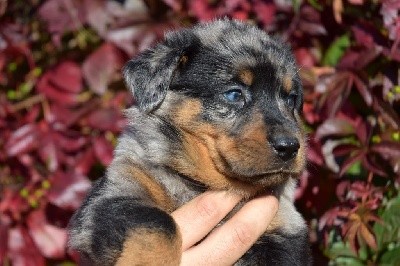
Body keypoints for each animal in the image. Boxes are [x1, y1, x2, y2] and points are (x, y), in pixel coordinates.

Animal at [69, 20, 312, 266]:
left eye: (291, 99)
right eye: (234, 94)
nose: (289, 147)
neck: (206, 184)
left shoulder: (285, 228)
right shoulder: (111, 195)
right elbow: (158, 222)